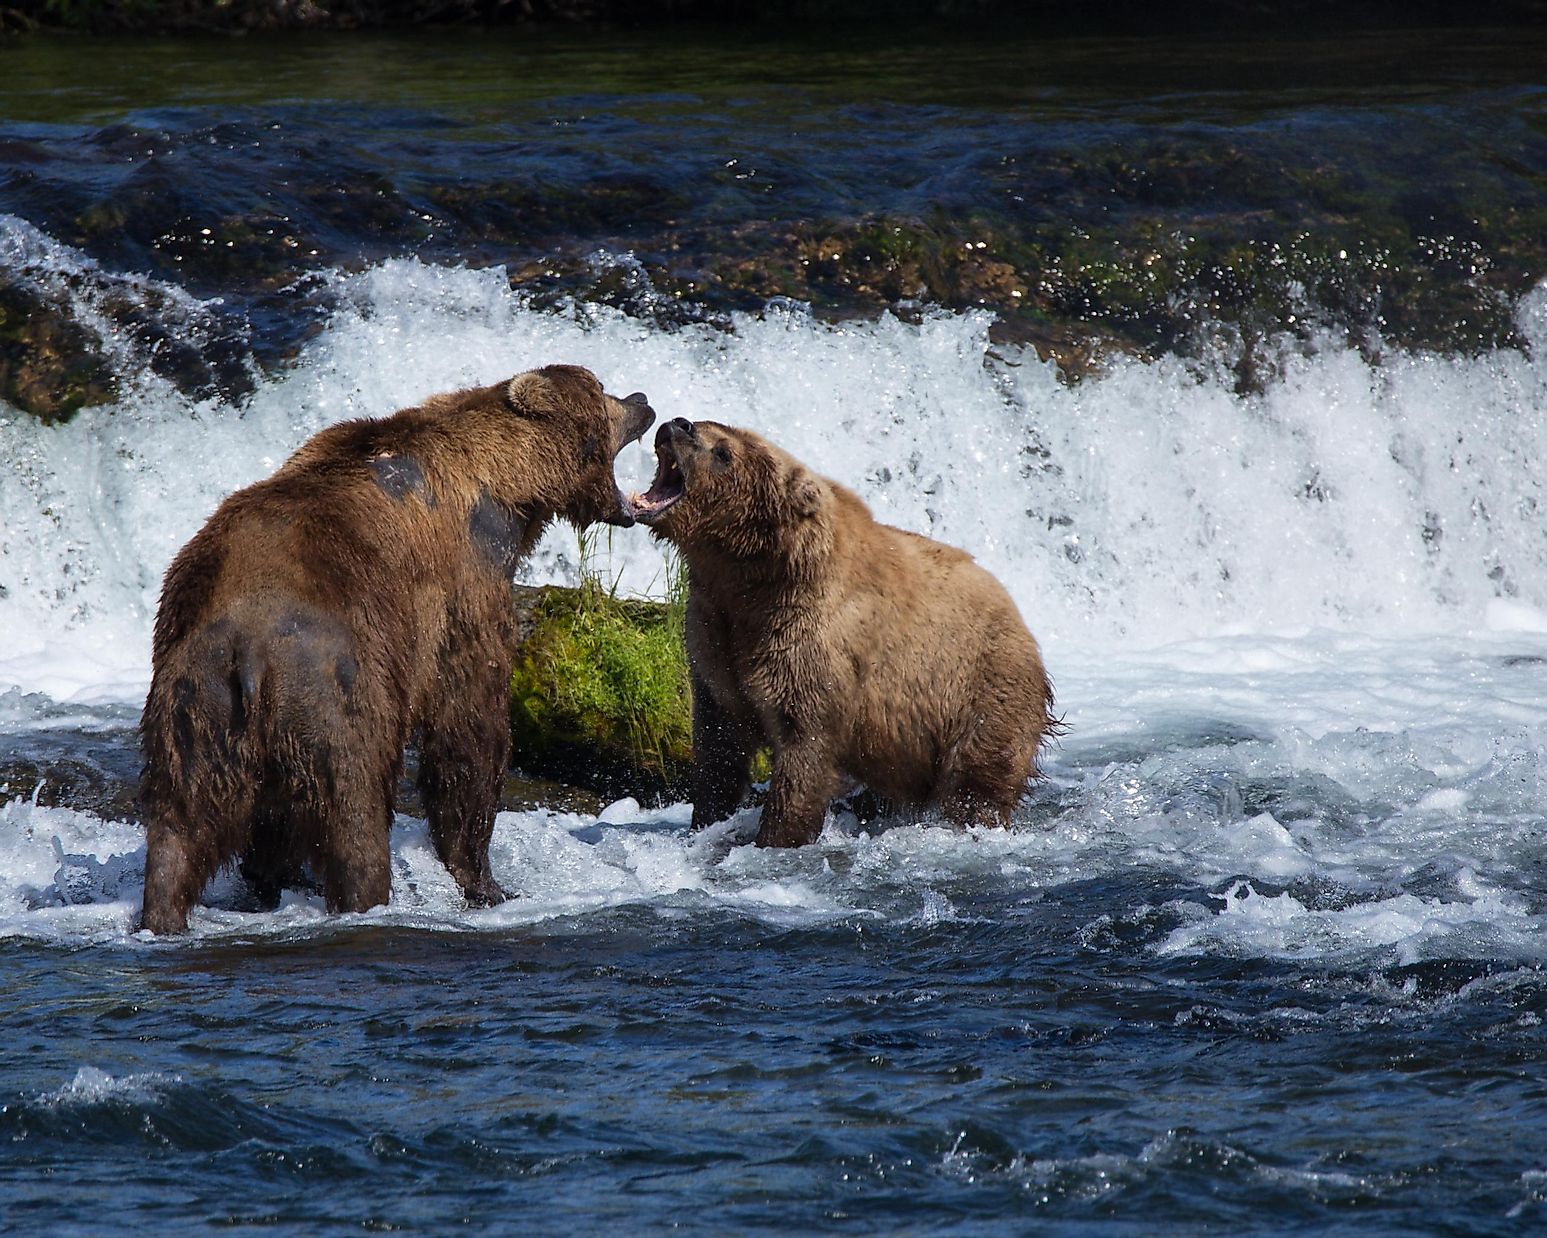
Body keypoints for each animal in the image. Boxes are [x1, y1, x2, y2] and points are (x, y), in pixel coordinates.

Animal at [136, 362, 655, 934]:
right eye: (602, 391)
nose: (643, 399)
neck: (506, 486)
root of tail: (249, 653)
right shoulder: (463, 584)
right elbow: (469, 724)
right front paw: (485, 882)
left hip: (194, 705)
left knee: (179, 826)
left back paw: (169, 911)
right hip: (330, 686)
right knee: (355, 806)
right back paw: (366, 897)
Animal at [634, 420, 1058, 848]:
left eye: (723, 452)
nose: (677, 424)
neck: (748, 576)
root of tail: (1021, 619)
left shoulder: (807, 637)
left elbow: (804, 743)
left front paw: (776, 835)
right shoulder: (715, 634)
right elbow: (719, 742)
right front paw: (706, 818)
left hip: (979, 685)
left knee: (977, 773)